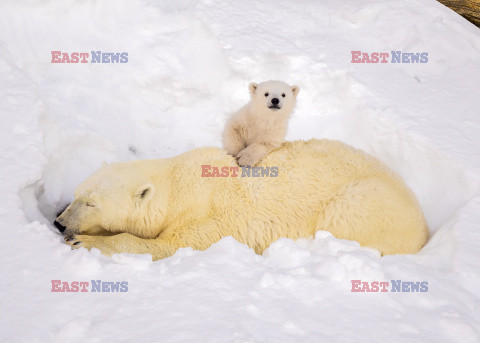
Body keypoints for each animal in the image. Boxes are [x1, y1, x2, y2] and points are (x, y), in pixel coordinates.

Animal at [55, 138, 428, 260]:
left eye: (91, 203)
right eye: (75, 195)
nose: (58, 223)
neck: (181, 185)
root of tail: (425, 226)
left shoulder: (208, 221)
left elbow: (166, 247)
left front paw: (82, 241)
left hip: (365, 203)